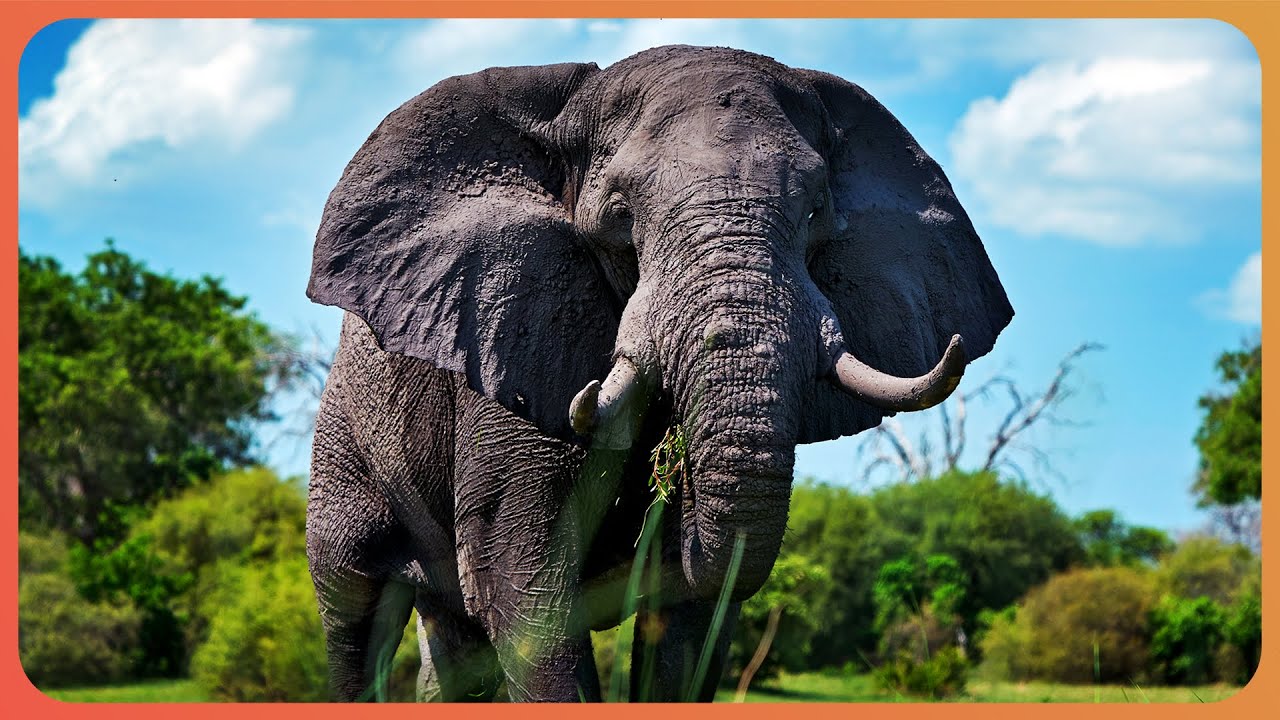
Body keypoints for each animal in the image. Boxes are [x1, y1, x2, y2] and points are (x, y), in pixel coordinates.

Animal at [304, 44, 1013, 703]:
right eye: (620, 213)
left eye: (815, 211)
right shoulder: (510, 346)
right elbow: (521, 584)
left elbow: (688, 620)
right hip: (344, 443)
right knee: (355, 616)